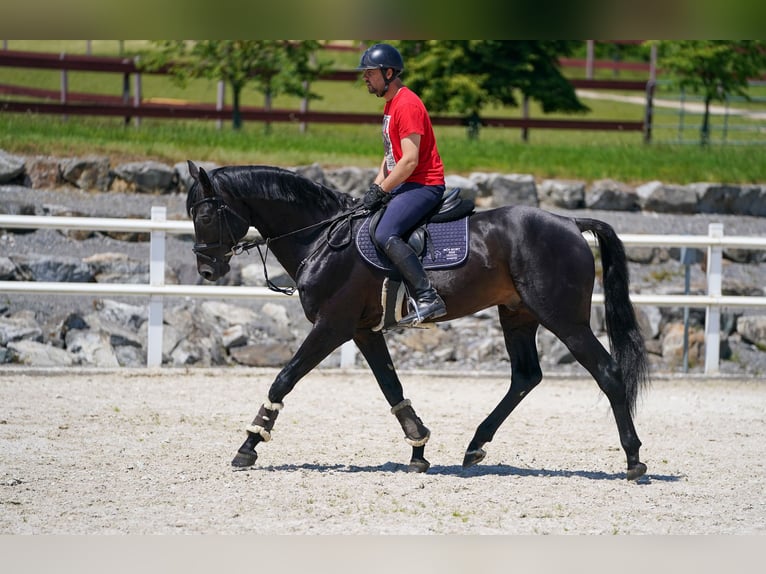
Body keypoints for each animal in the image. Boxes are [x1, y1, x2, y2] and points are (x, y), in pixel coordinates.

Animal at [186, 160, 650, 481]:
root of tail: (570, 221)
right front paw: (418, 448)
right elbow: (392, 388)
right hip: (517, 315)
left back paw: (633, 458)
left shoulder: (332, 327)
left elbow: (283, 379)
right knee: (525, 376)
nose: (206, 270)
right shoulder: (362, 331)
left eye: (204, 215)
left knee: (607, 372)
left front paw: (249, 444)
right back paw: (475, 446)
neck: (321, 237)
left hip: (563, 319)